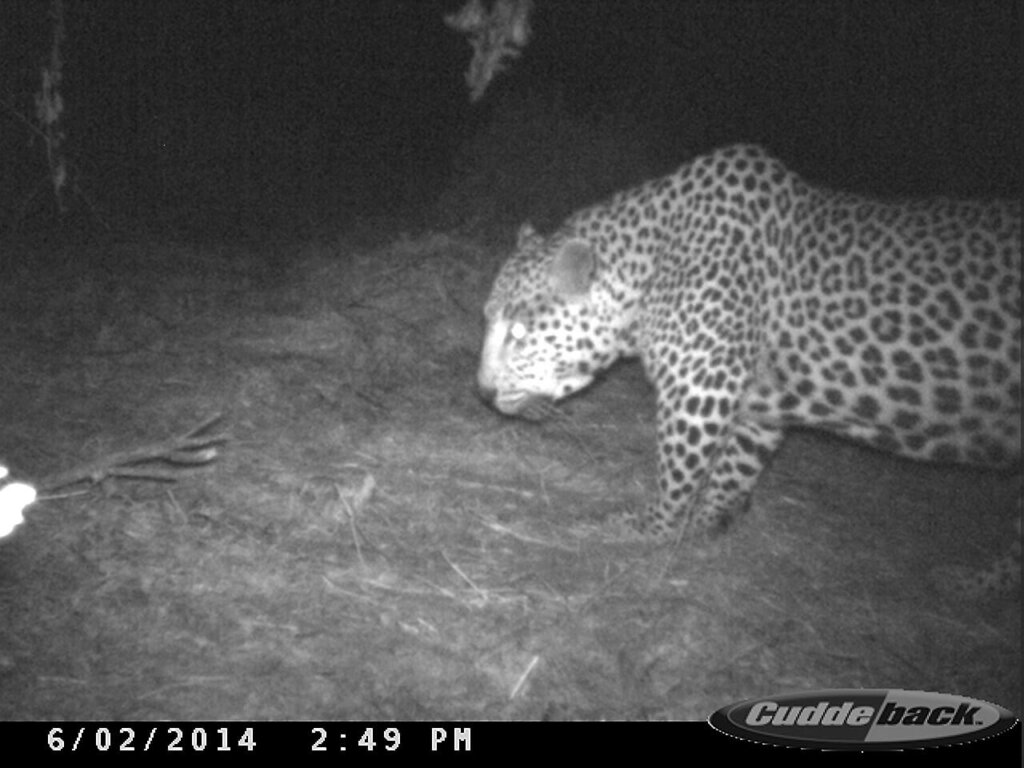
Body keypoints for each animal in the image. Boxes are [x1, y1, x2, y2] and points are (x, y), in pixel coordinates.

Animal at [481, 145, 1024, 602]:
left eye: (520, 333)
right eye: (488, 318)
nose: (483, 392)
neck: (650, 269)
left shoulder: (699, 391)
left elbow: (677, 473)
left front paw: (646, 528)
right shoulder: (757, 406)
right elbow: (733, 470)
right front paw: (705, 528)